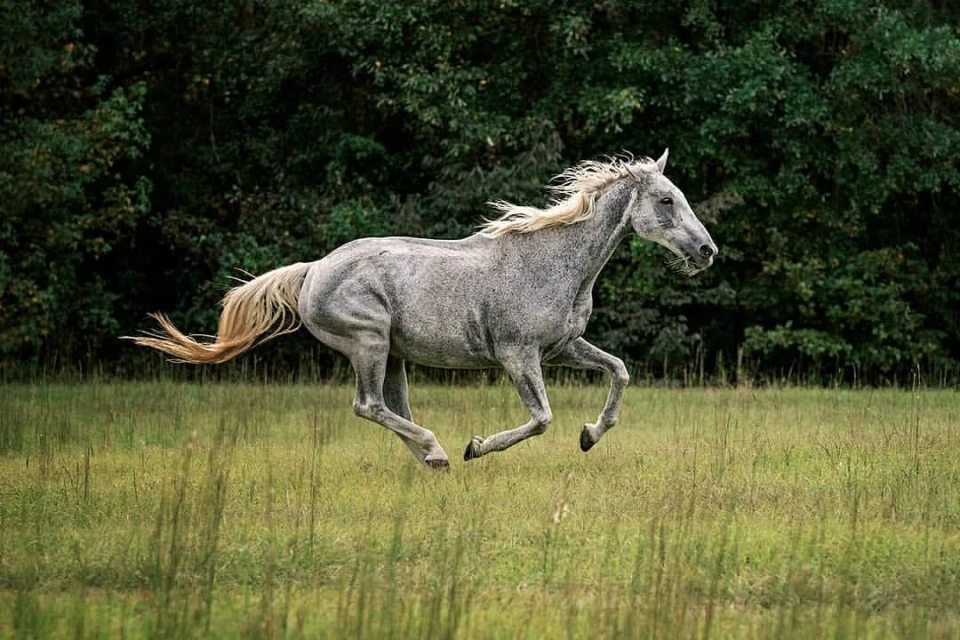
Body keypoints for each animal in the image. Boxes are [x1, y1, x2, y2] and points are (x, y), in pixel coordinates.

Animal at [127, 150, 717, 469]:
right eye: (666, 200)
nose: (707, 250)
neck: (553, 263)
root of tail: (314, 268)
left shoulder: (562, 347)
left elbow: (620, 371)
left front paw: (591, 435)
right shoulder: (519, 357)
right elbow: (542, 418)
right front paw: (477, 446)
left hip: (393, 355)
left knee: (393, 409)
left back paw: (432, 459)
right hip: (369, 344)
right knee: (368, 406)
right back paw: (439, 451)